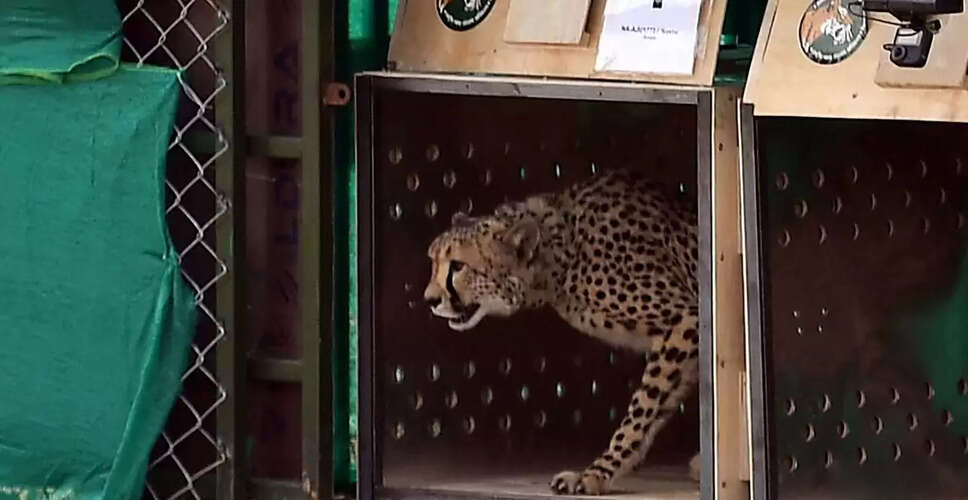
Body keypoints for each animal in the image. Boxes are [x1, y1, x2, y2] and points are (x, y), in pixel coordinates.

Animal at [422, 169, 700, 495]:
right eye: (433, 262)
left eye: (458, 266)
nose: (430, 300)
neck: (563, 253)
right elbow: (657, 407)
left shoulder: (685, 318)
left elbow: (642, 409)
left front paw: (598, 473)